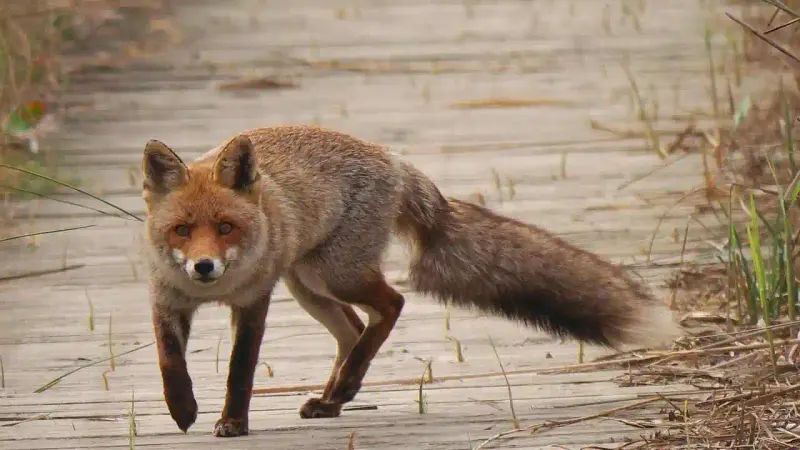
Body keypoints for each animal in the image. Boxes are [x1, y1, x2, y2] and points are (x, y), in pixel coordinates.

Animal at [141, 125, 682, 437]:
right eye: (182, 230)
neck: (215, 293)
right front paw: (182, 409)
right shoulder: (165, 298)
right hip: (307, 283)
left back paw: (343, 388)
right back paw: (335, 397)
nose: (204, 267)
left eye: (226, 228)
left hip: (331, 273)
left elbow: (239, 370)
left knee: (391, 305)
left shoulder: (254, 302)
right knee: (355, 331)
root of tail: (395, 159)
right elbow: (168, 361)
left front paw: (233, 422)